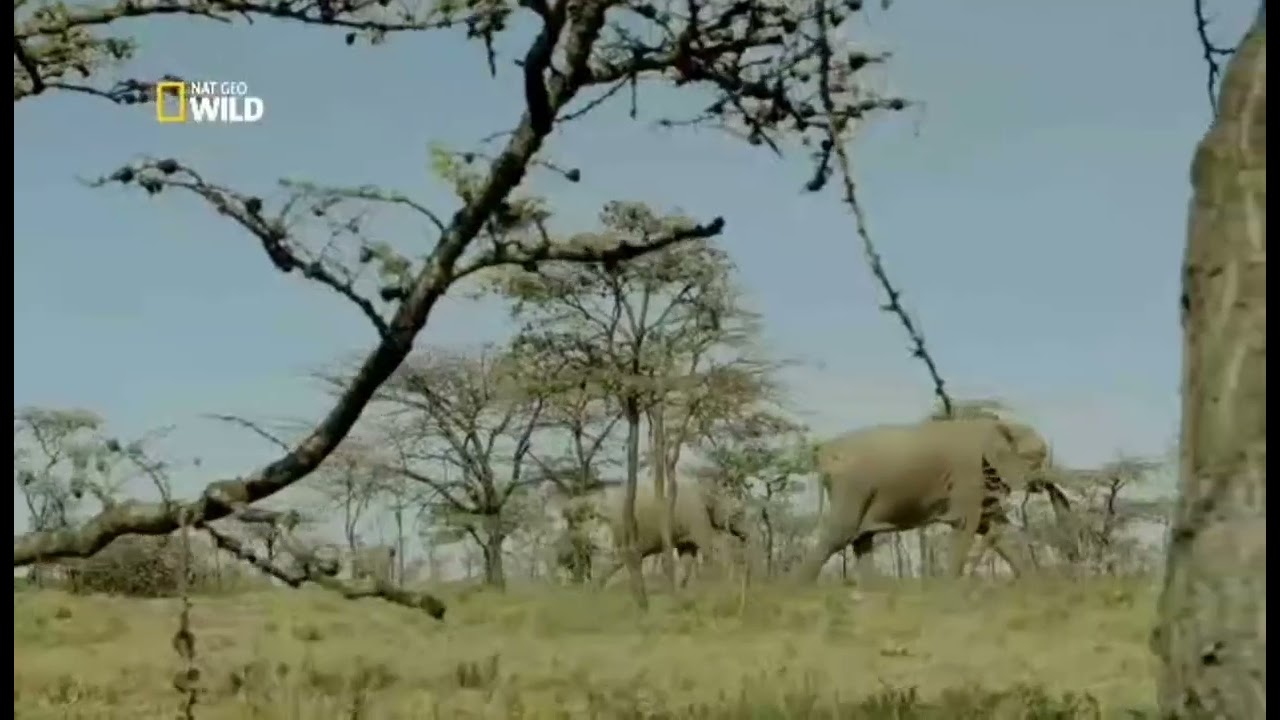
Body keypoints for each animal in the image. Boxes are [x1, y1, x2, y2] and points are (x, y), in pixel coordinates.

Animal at [792, 417, 1074, 583]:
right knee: (839, 535)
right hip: (853, 487)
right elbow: (966, 524)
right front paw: (950, 589)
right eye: (1036, 458)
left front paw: (1036, 585)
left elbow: (995, 527)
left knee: (861, 539)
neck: (998, 424)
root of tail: (824, 451)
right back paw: (797, 590)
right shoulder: (968, 474)